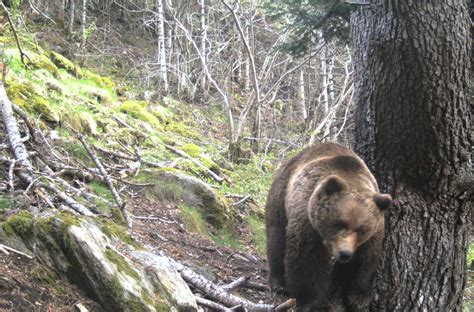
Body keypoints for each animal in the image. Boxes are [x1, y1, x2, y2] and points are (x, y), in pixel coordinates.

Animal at [264, 143, 390, 310]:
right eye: (338, 223)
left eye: (361, 229)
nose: (345, 253)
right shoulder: (308, 219)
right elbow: (306, 258)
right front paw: (308, 299)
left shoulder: (373, 233)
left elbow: (365, 260)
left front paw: (358, 298)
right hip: (282, 194)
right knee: (276, 236)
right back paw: (278, 283)